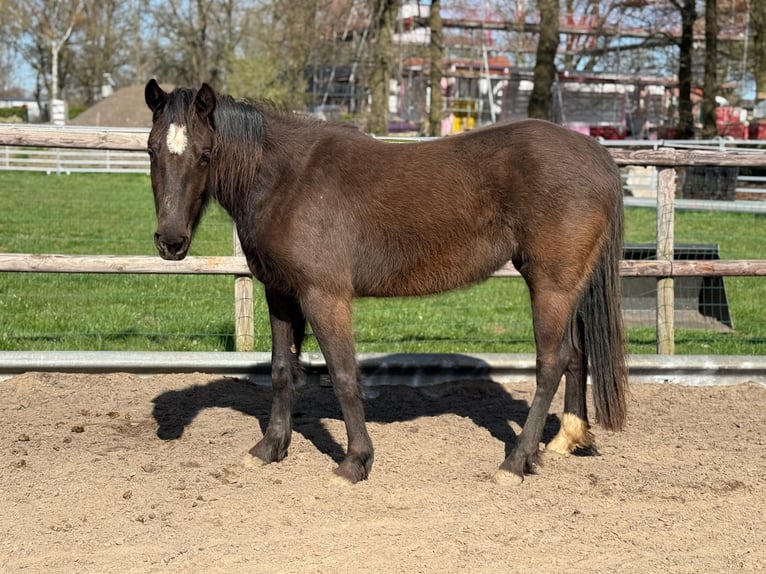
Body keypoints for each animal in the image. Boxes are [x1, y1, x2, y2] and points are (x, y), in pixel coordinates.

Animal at [144, 79, 628, 485]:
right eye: (151, 151)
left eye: (205, 154)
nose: (171, 241)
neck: (287, 180)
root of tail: (599, 157)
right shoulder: (280, 293)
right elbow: (283, 369)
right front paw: (270, 447)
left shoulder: (324, 296)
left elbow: (342, 374)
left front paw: (355, 461)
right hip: (566, 285)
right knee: (576, 354)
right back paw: (567, 439)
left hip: (550, 284)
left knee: (552, 361)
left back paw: (516, 461)